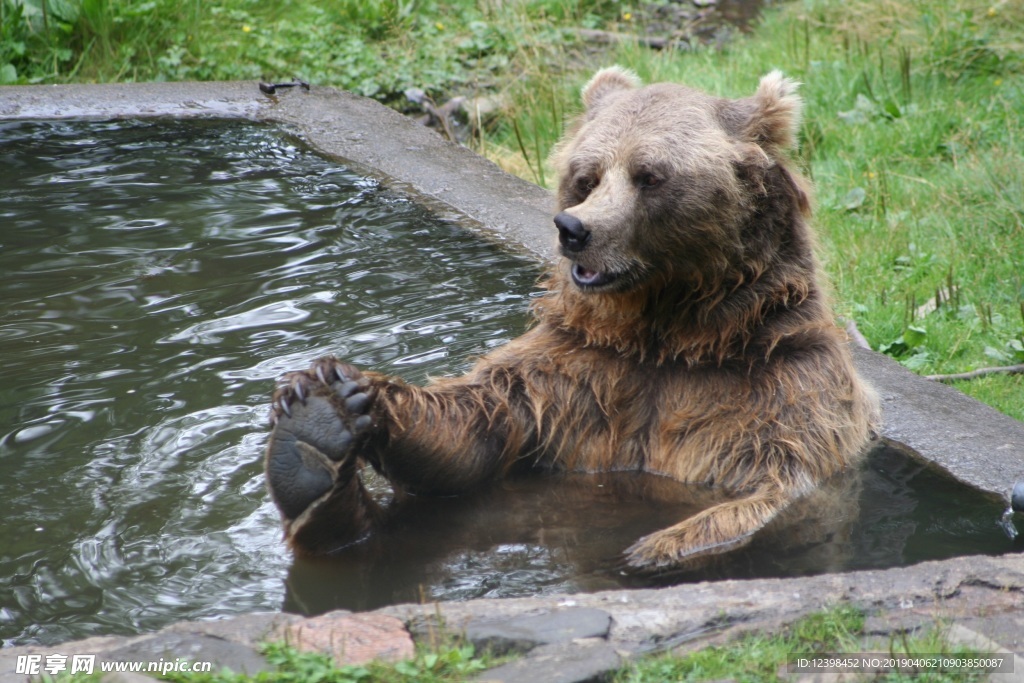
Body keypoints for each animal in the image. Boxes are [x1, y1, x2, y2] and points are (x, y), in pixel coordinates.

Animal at [262, 66, 880, 571]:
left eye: (649, 175)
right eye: (587, 175)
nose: (574, 228)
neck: (669, 336)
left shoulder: (778, 382)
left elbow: (781, 487)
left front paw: (656, 546)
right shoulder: (576, 372)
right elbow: (475, 425)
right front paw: (337, 390)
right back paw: (312, 451)